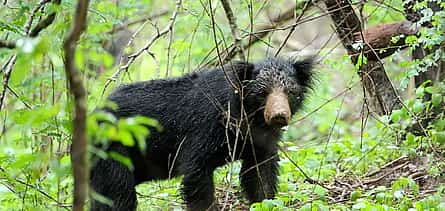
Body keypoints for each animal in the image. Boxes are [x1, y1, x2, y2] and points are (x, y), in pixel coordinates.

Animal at [89, 56, 312, 210]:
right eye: (262, 93)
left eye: (291, 92)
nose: (279, 115)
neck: (248, 118)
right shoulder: (205, 128)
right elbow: (196, 172)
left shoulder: (260, 141)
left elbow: (260, 174)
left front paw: (265, 202)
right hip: (114, 152)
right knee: (119, 195)